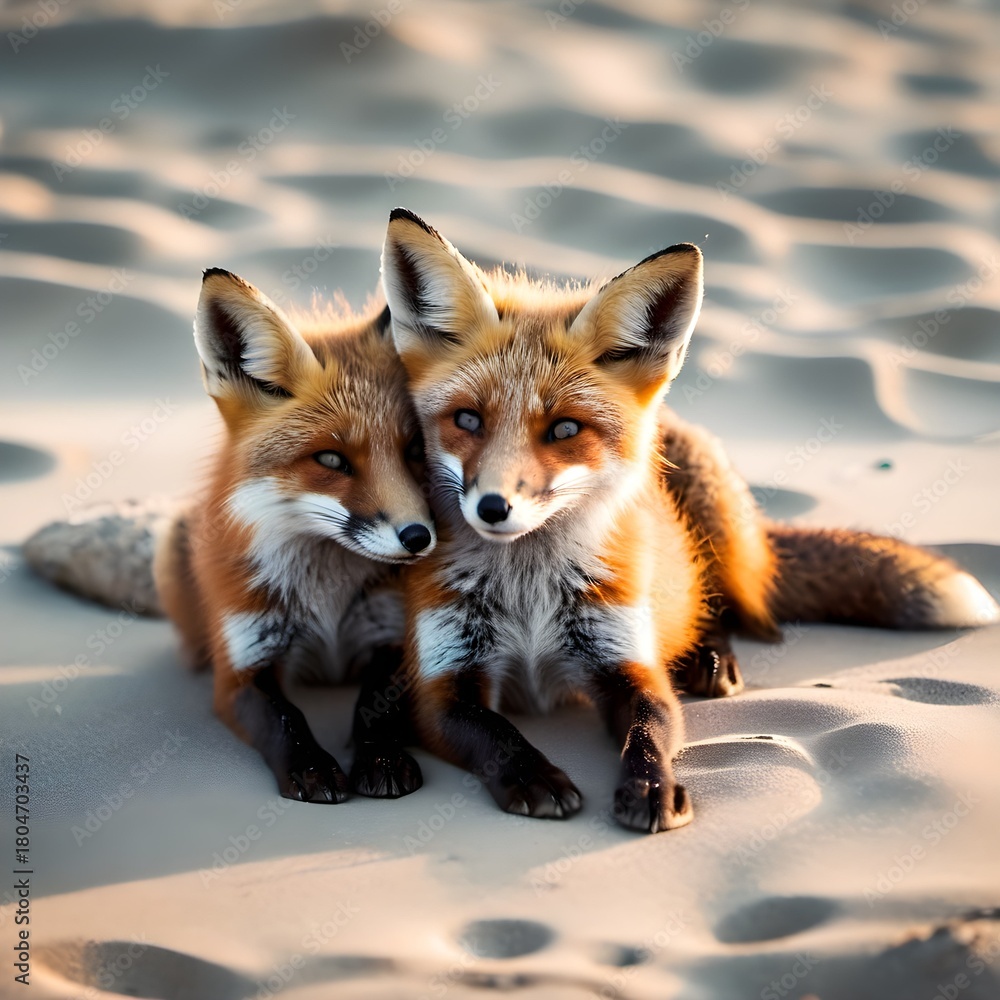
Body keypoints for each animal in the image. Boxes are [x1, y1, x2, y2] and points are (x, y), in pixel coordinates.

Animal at [26, 267, 438, 804]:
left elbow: (376, 710)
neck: (326, 601)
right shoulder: (243, 664)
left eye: (415, 450)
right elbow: (285, 718)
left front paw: (382, 757)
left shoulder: (392, 644)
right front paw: (312, 767)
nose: (419, 537)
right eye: (331, 459)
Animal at [375, 207, 999, 834]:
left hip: (708, 503)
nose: (493, 506)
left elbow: (651, 726)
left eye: (564, 429)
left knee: (723, 601)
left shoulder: (627, 660)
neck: (528, 596)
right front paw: (533, 776)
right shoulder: (441, 682)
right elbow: (495, 732)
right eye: (467, 420)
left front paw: (652, 785)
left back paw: (710, 655)